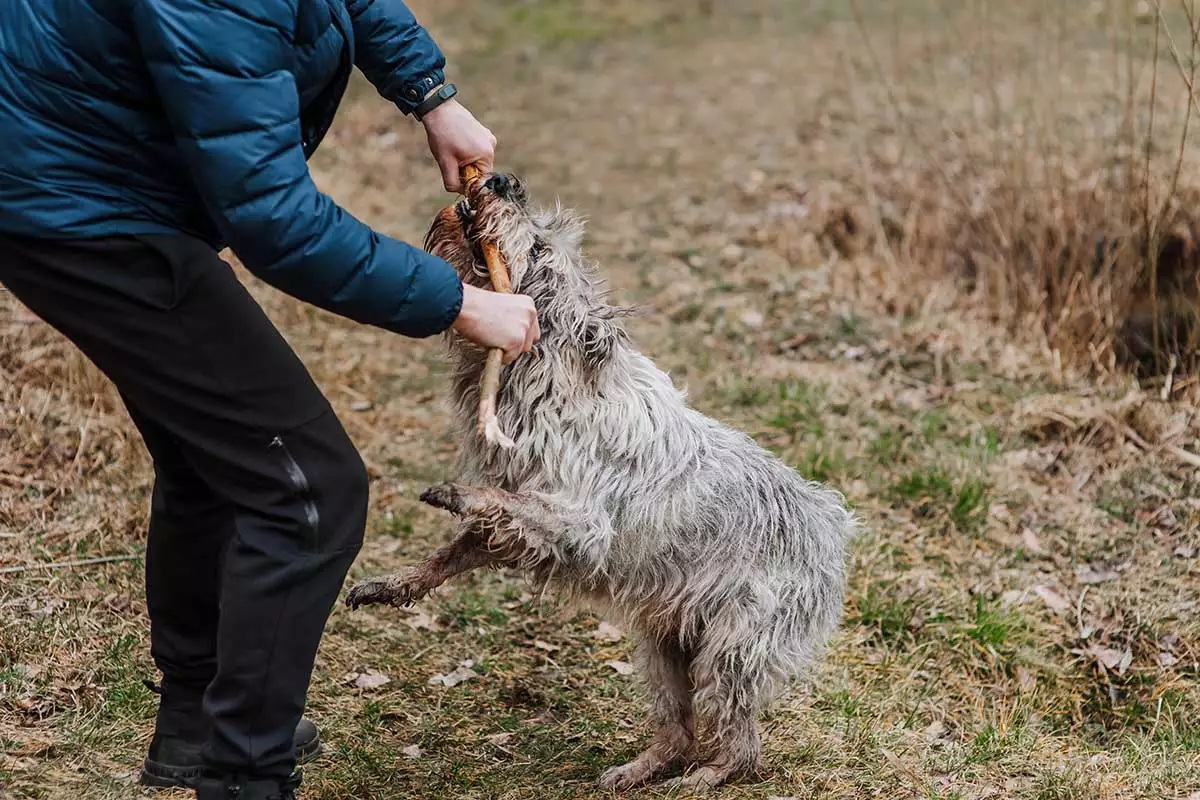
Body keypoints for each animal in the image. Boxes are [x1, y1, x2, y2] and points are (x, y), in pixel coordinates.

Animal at [348, 173, 854, 786]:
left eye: (541, 247)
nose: (503, 181)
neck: (547, 369)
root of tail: (830, 523)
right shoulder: (523, 529)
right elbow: (454, 550)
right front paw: (396, 583)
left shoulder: (578, 522)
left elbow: (496, 502)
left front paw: (456, 493)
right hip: (665, 645)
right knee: (679, 731)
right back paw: (639, 769)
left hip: (731, 648)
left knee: (741, 742)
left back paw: (705, 778)